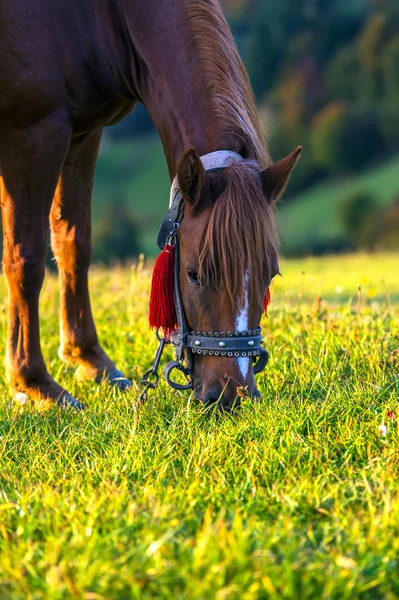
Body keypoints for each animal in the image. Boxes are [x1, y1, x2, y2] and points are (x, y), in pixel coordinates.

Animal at [0, 0, 300, 412]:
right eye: (193, 273)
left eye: (270, 274)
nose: (231, 395)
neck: (99, 16)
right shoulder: (32, 134)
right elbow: (25, 259)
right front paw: (34, 383)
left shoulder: (82, 133)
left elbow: (73, 245)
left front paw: (89, 359)